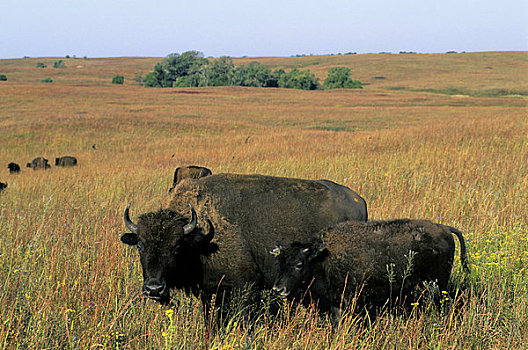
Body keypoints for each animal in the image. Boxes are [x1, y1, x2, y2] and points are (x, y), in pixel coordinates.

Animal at [120, 174, 368, 310]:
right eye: (140, 246)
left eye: (177, 247)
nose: (154, 288)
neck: (201, 238)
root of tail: (358, 200)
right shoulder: (209, 291)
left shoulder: (244, 286)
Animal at [272, 220, 470, 322]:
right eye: (280, 262)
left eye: (299, 264)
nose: (278, 289)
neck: (321, 258)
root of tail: (444, 228)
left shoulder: (348, 300)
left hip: (437, 284)